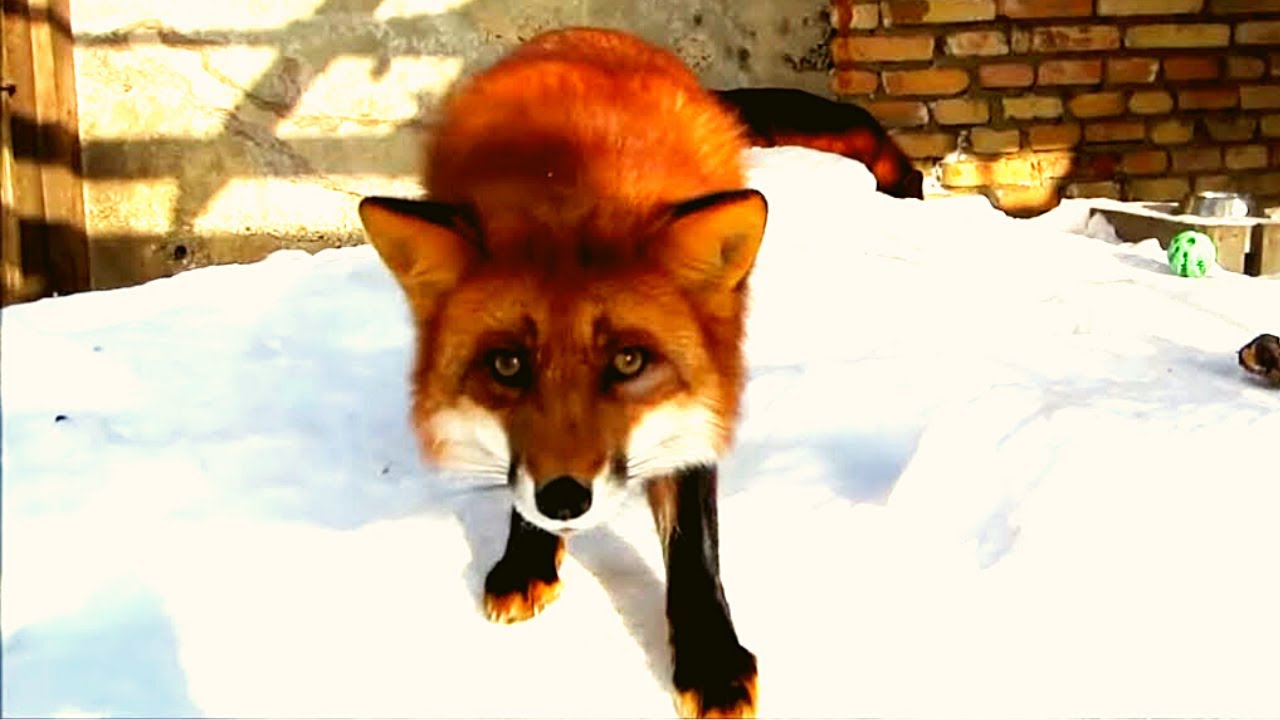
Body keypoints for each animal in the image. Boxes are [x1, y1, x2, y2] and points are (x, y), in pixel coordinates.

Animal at [357, 27, 766, 719]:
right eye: (507, 364)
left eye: (628, 361)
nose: (565, 499)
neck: (574, 173)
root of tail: (581, 34)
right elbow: (518, 487)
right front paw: (527, 557)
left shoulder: (706, 392)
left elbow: (693, 542)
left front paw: (710, 661)